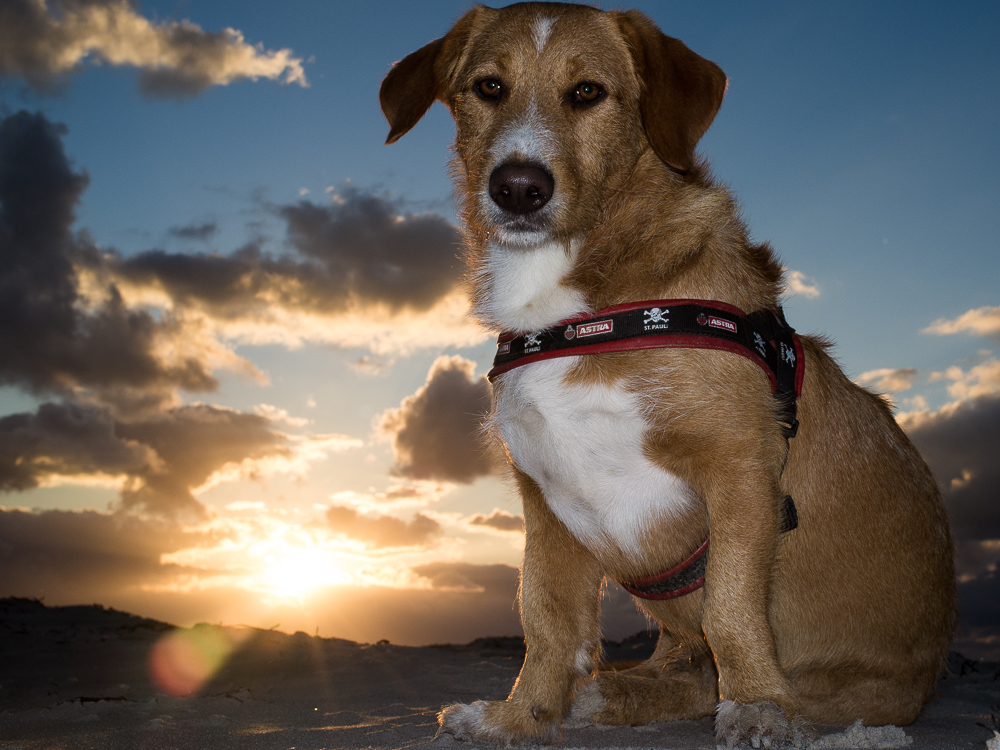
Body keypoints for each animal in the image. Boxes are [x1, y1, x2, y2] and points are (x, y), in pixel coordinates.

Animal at [378, 2, 956, 748]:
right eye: (488, 88)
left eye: (588, 92)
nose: (518, 188)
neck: (586, 306)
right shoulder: (546, 499)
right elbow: (546, 618)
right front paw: (520, 718)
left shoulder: (740, 468)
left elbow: (731, 609)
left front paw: (758, 707)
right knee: (680, 663)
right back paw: (615, 693)